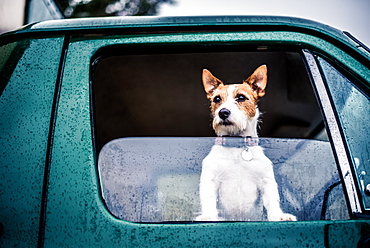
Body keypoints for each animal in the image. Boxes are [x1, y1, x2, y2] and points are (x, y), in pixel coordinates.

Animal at [195, 65, 296, 221]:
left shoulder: (266, 181)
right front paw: (208, 216)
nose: (223, 112)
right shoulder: (210, 180)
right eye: (217, 99)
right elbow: (208, 200)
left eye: (241, 97)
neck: (237, 146)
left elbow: (272, 201)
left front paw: (278, 216)